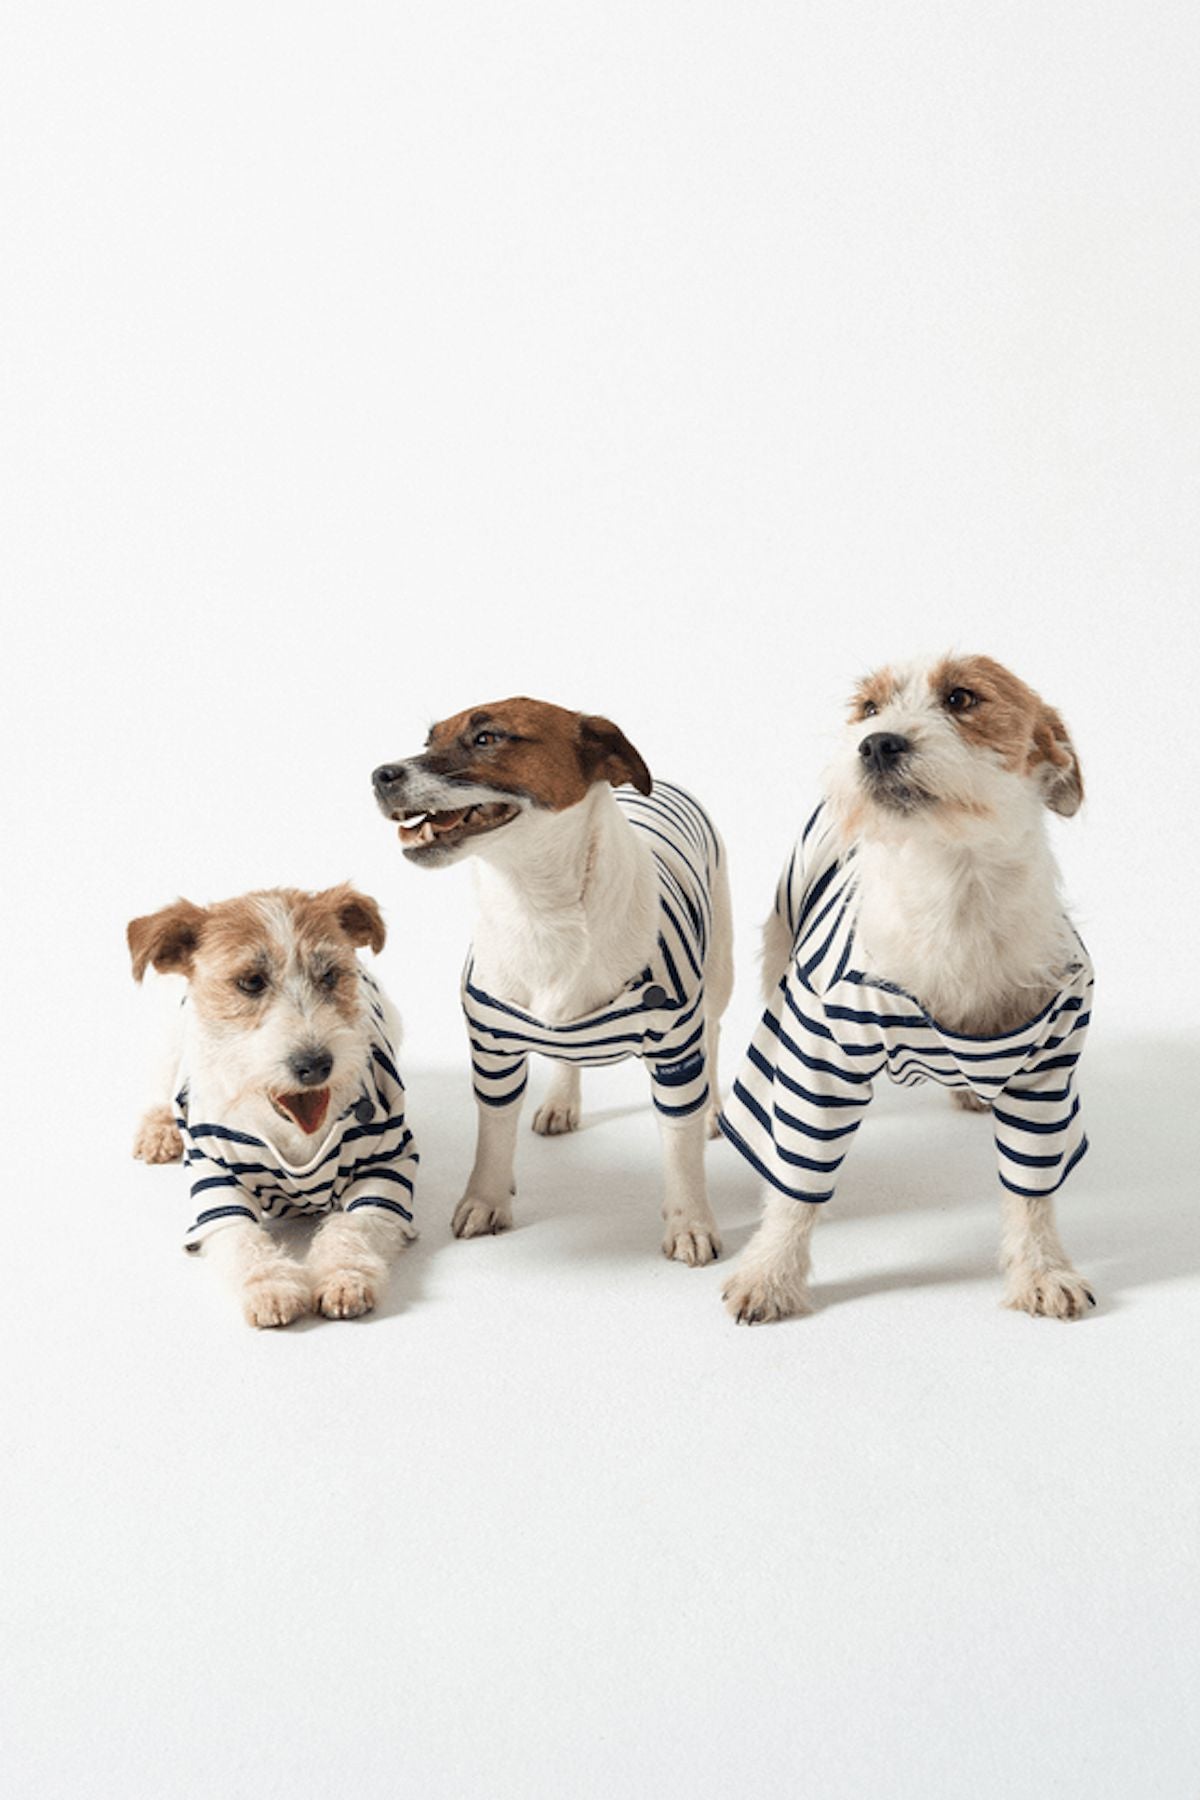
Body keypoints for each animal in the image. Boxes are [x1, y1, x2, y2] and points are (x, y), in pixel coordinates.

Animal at [127, 884, 417, 1327]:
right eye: (250, 982)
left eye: (329, 975)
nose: (315, 1065)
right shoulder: (216, 1183)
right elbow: (242, 1239)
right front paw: (271, 1288)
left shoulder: (385, 1171)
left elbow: (353, 1227)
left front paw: (344, 1277)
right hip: (176, 1046)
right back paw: (159, 1130)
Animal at [371, 698, 733, 1262]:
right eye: (429, 741)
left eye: (487, 738)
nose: (380, 775)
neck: (537, 904)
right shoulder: (492, 1047)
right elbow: (494, 1133)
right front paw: (486, 1199)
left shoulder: (674, 1047)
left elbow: (680, 1145)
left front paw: (690, 1221)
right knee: (566, 1052)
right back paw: (562, 1100)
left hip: (717, 970)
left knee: (713, 1034)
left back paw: (714, 1105)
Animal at [719, 654, 1094, 1324]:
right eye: (869, 708)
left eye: (962, 697)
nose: (876, 742)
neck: (951, 886)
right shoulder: (817, 1060)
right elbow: (794, 1182)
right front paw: (770, 1272)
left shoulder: (1047, 1076)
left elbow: (1032, 1189)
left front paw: (1043, 1269)